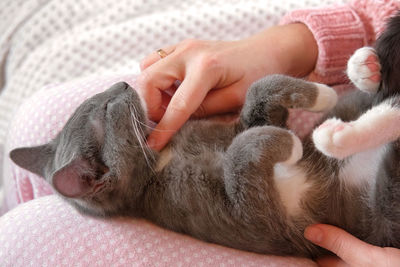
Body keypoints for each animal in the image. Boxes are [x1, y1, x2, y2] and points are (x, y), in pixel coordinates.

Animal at [8, 14, 400, 258]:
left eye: (98, 97)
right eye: (106, 109)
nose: (122, 83)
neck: (162, 158)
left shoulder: (237, 124)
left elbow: (258, 91)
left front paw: (322, 94)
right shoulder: (252, 218)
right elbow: (243, 155)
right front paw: (289, 144)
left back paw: (364, 73)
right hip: (384, 204)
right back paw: (342, 126)